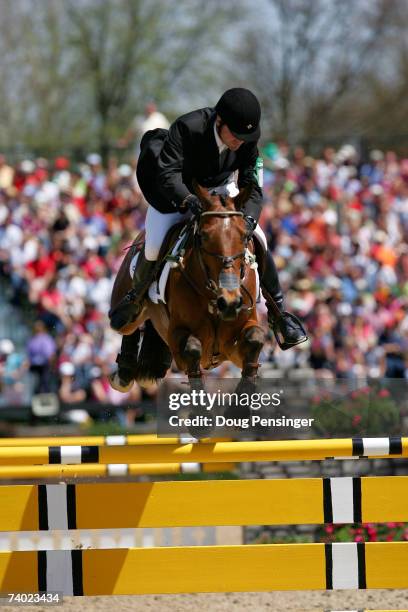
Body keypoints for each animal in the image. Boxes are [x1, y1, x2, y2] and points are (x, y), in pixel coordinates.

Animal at [109, 182, 264, 402]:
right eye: (204, 236)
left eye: (244, 236)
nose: (229, 303)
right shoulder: (178, 338)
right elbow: (192, 350)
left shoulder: (234, 343)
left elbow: (255, 339)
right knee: (129, 322)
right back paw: (124, 372)